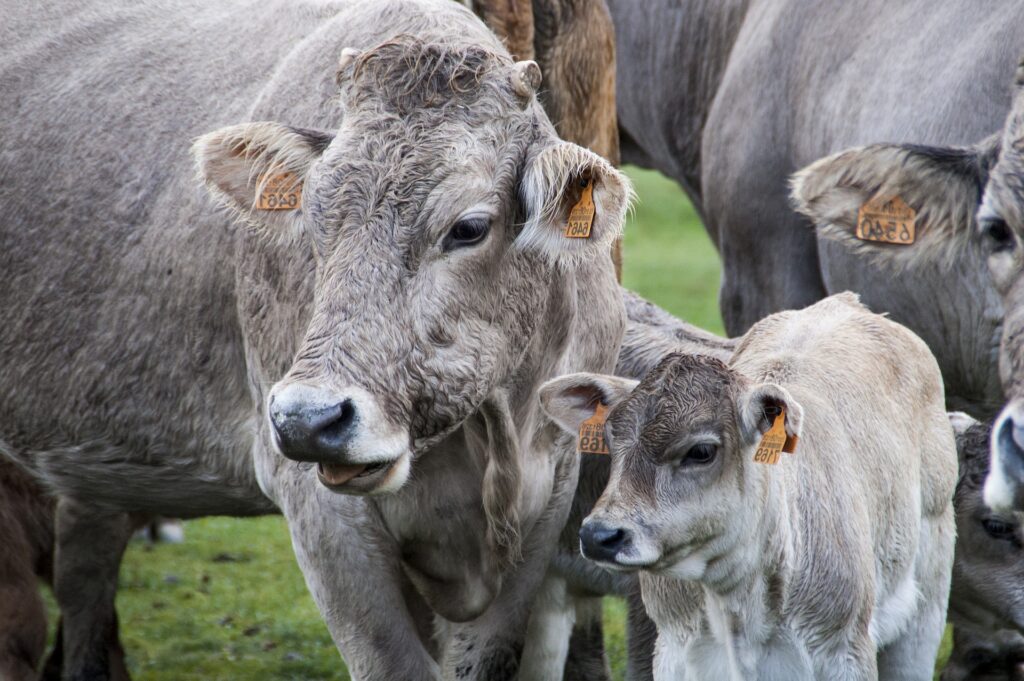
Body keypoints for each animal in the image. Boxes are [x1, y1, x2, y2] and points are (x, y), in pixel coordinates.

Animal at [0, 1, 630, 675]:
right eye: (313, 216)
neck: (492, 437)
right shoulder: (320, 511)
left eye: (468, 227)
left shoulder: (549, 497)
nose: (307, 418)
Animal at [540, 292, 954, 679]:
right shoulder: (673, 649)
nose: (600, 535)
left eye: (701, 451)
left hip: (927, 601)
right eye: (612, 441)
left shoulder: (844, 652)